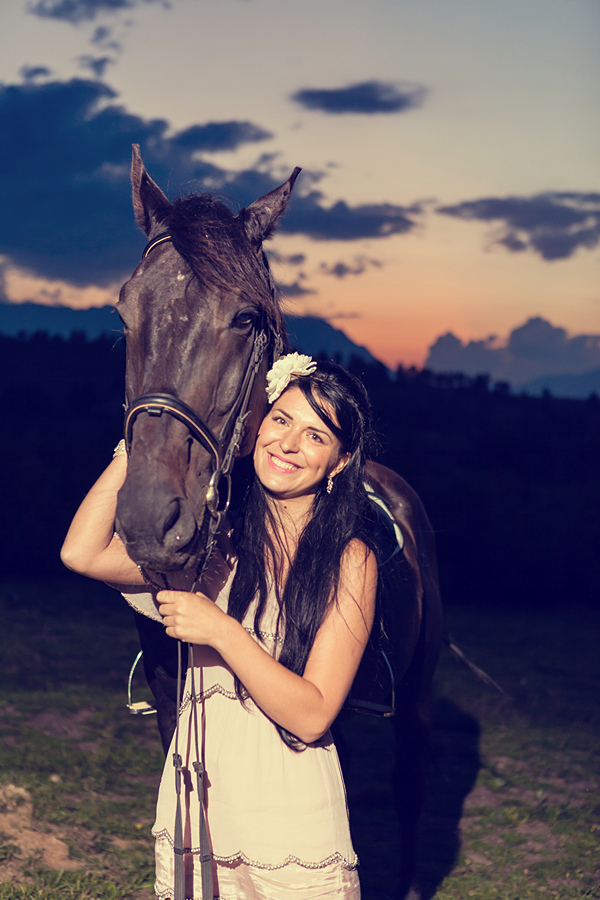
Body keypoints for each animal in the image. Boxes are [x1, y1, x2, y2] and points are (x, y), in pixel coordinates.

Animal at [115, 144, 440, 896]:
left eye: (243, 318)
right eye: (124, 311)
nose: (148, 518)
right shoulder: (172, 701)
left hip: (417, 688)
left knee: (409, 784)